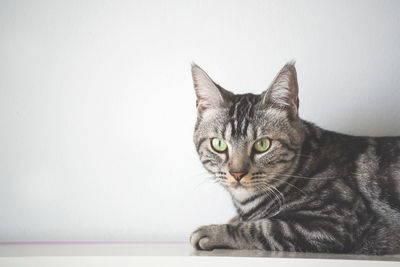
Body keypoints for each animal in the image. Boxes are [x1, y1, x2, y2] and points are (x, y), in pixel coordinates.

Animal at [189, 62, 400, 255]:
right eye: (219, 144)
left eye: (262, 144)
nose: (237, 173)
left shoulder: (335, 222)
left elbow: (263, 227)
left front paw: (214, 231)